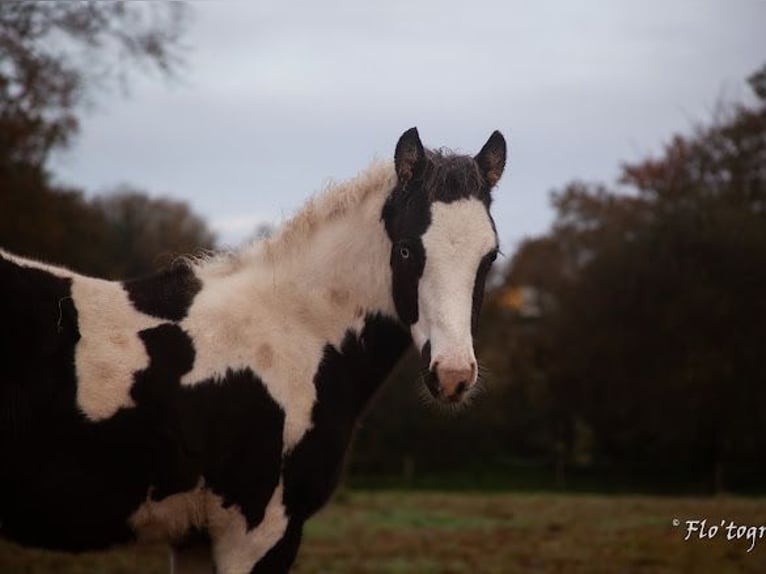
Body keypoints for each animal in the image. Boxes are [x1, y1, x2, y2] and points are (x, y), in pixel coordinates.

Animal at [1, 128, 510, 572]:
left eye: (490, 256)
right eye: (405, 250)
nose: (452, 375)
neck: (295, 330)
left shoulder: (193, 539)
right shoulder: (257, 534)